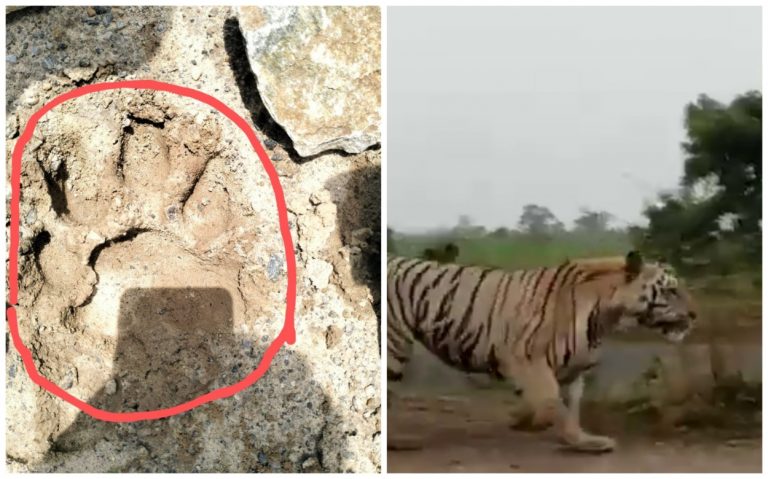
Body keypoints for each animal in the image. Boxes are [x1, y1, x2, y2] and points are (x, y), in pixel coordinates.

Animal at [387, 250, 696, 453]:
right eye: (671, 291)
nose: (694, 314)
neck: (606, 318)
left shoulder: (575, 368)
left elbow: (571, 406)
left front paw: (581, 441)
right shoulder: (524, 358)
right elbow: (548, 401)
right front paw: (527, 422)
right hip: (395, 346)